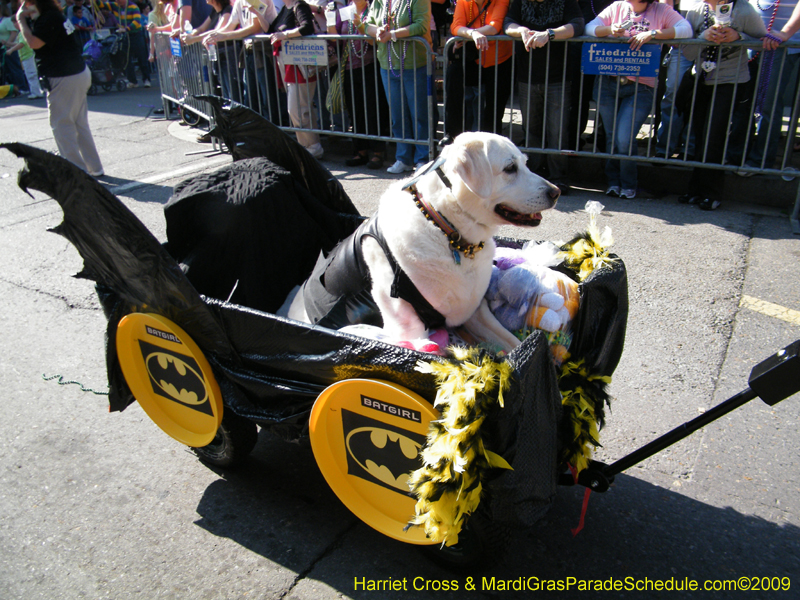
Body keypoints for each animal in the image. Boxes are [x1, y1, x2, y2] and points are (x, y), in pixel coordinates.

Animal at [290, 131, 560, 352]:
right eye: (510, 168)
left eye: (525, 164)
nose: (556, 192)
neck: (445, 227)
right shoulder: (409, 328)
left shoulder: (476, 310)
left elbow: (512, 341)